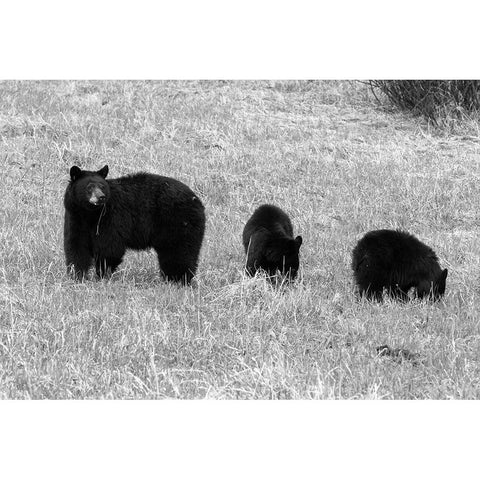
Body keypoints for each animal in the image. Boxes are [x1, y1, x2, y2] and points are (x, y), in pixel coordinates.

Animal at [63, 166, 204, 284]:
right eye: (89, 187)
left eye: (102, 186)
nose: (101, 197)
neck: (90, 214)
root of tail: (196, 199)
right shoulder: (75, 218)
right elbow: (76, 246)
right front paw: (77, 276)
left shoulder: (111, 218)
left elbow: (109, 247)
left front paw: (102, 275)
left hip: (179, 222)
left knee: (180, 252)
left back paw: (179, 280)